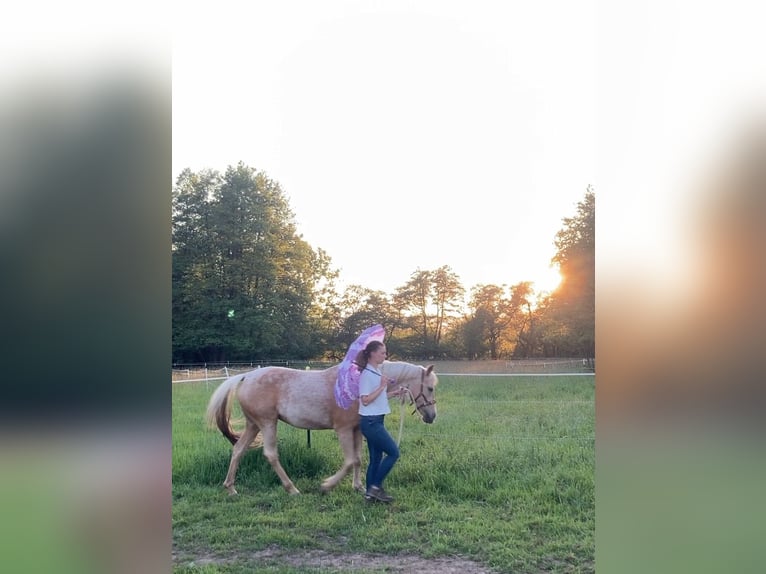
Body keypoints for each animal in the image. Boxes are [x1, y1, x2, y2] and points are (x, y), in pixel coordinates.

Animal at [206, 362, 438, 498]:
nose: (432, 416)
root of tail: (246, 376)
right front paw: (327, 486)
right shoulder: (342, 429)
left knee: (238, 450)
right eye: (430, 388)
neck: (357, 385)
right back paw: (292, 489)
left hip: (254, 425)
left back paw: (231, 488)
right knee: (270, 454)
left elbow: (358, 459)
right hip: (268, 423)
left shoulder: (356, 430)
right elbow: (349, 461)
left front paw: (358, 487)